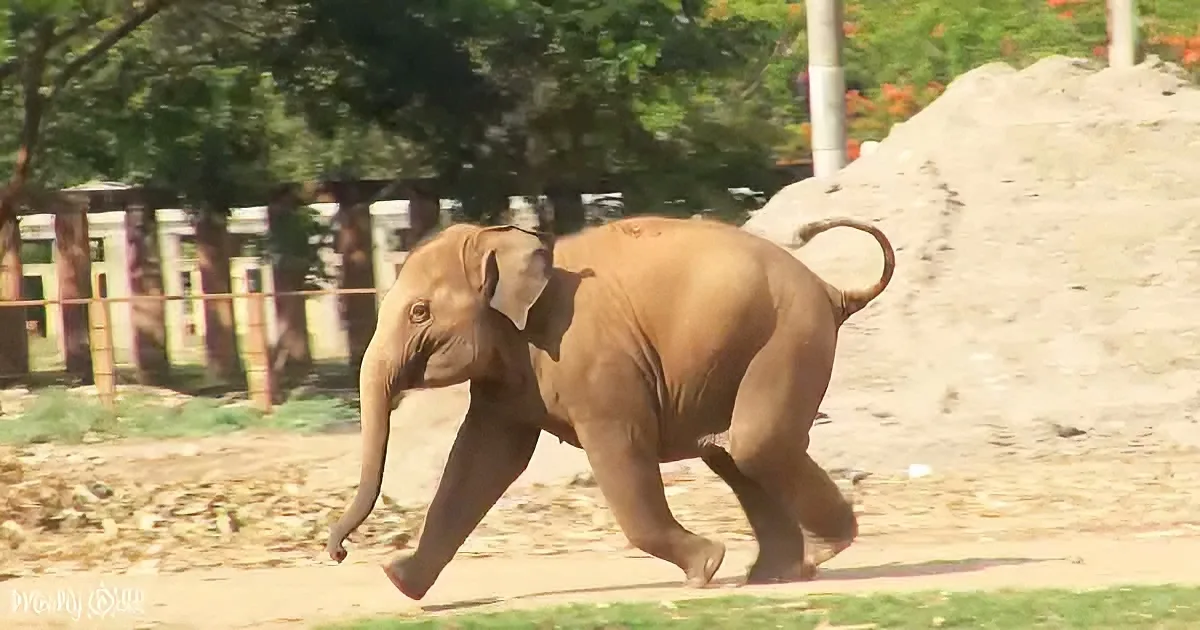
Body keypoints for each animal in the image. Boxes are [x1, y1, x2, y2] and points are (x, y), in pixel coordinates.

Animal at [325, 214, 895, 600]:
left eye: (419, 312)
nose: (339, 552)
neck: (505, 241)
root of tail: (831, 289)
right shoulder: (509, 376)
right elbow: (481, 461)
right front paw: (400, 580)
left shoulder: (595, 364)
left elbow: (618, 450)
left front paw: (705, 568)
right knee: (730, 452)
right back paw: (773, 574)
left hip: (787, 337)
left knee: (755, 443)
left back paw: (819, 554)